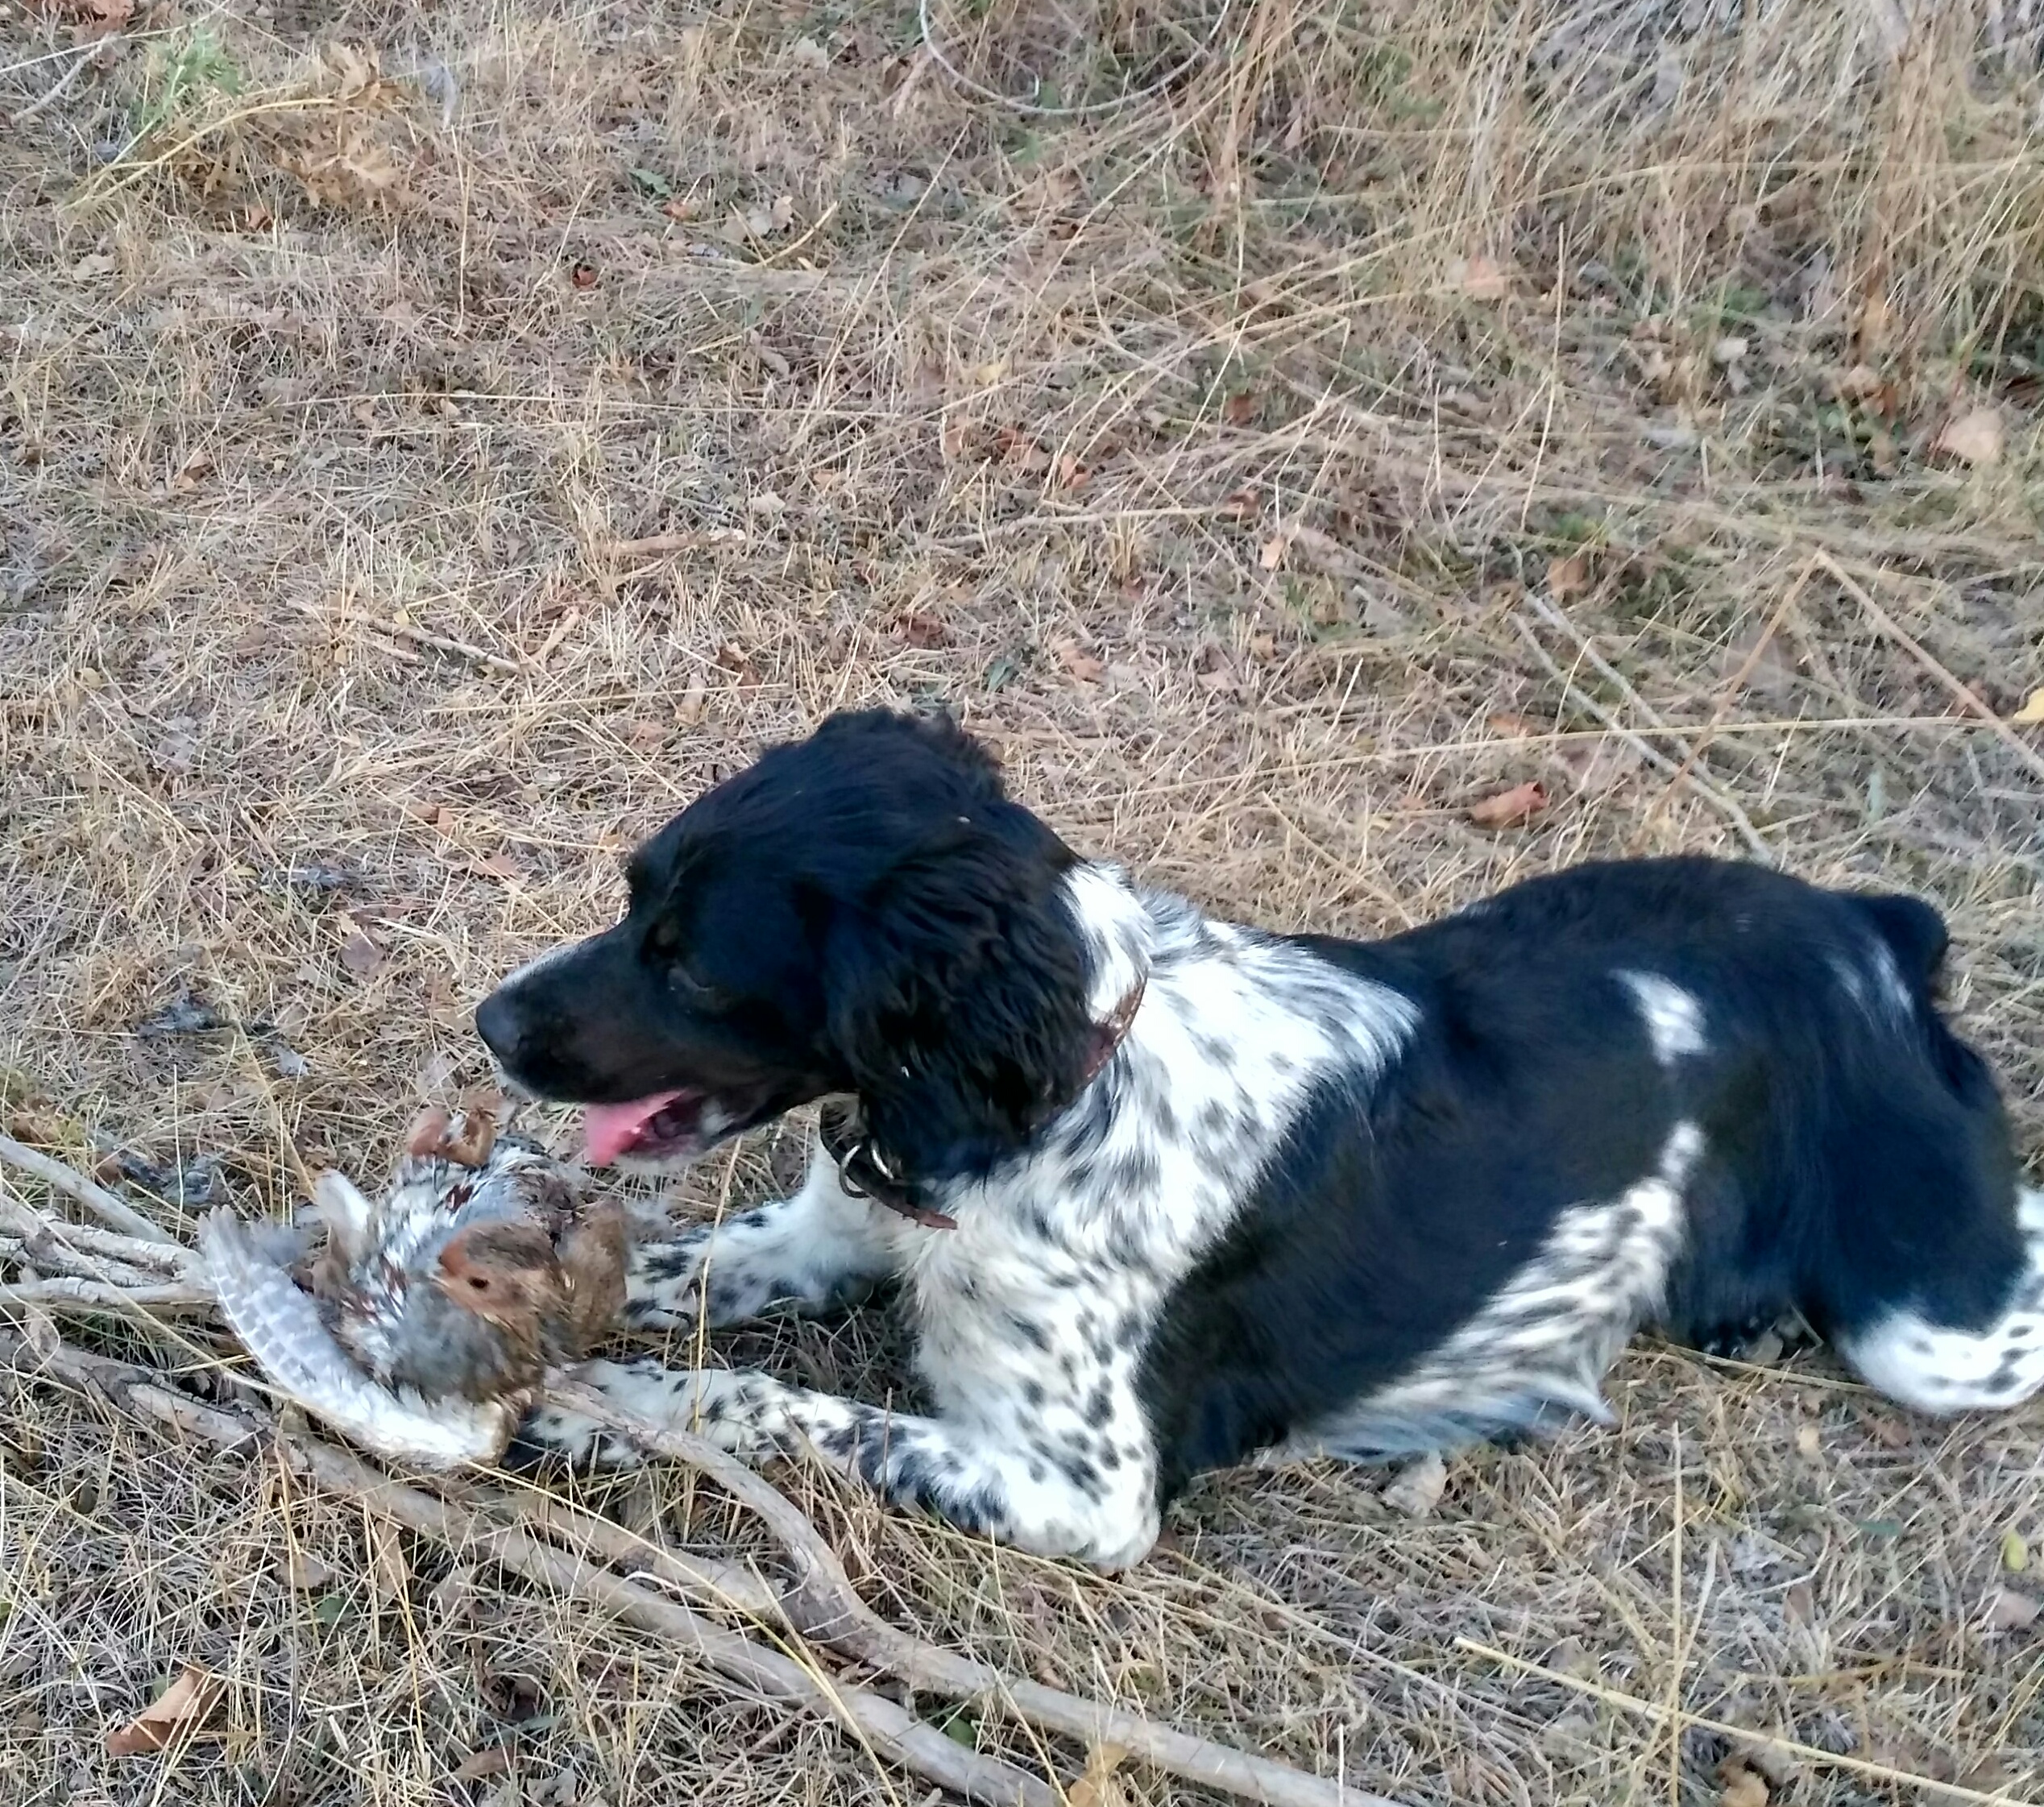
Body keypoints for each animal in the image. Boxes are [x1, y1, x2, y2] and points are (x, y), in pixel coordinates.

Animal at [477, 707, 2044, 1568]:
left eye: (689, 967)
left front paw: (599, 1403)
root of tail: (1868, 931)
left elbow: (771, 1401)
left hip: (1935, 1321)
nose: (491, 1019)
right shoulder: (819, 1235)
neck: (1039, 1106)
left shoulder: (1087, 1491)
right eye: (632, 895)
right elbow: (666, 1279)